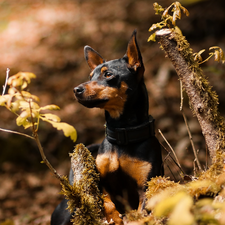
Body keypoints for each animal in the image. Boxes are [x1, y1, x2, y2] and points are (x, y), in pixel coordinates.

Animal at [51, 30, 163, 224]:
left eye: (108, 75)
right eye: (90, 76)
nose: (76, 90)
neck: (122, 134)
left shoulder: (146, 188)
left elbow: (140, 214)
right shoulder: (98, 182)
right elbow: (106, 201)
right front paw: (114, 218)